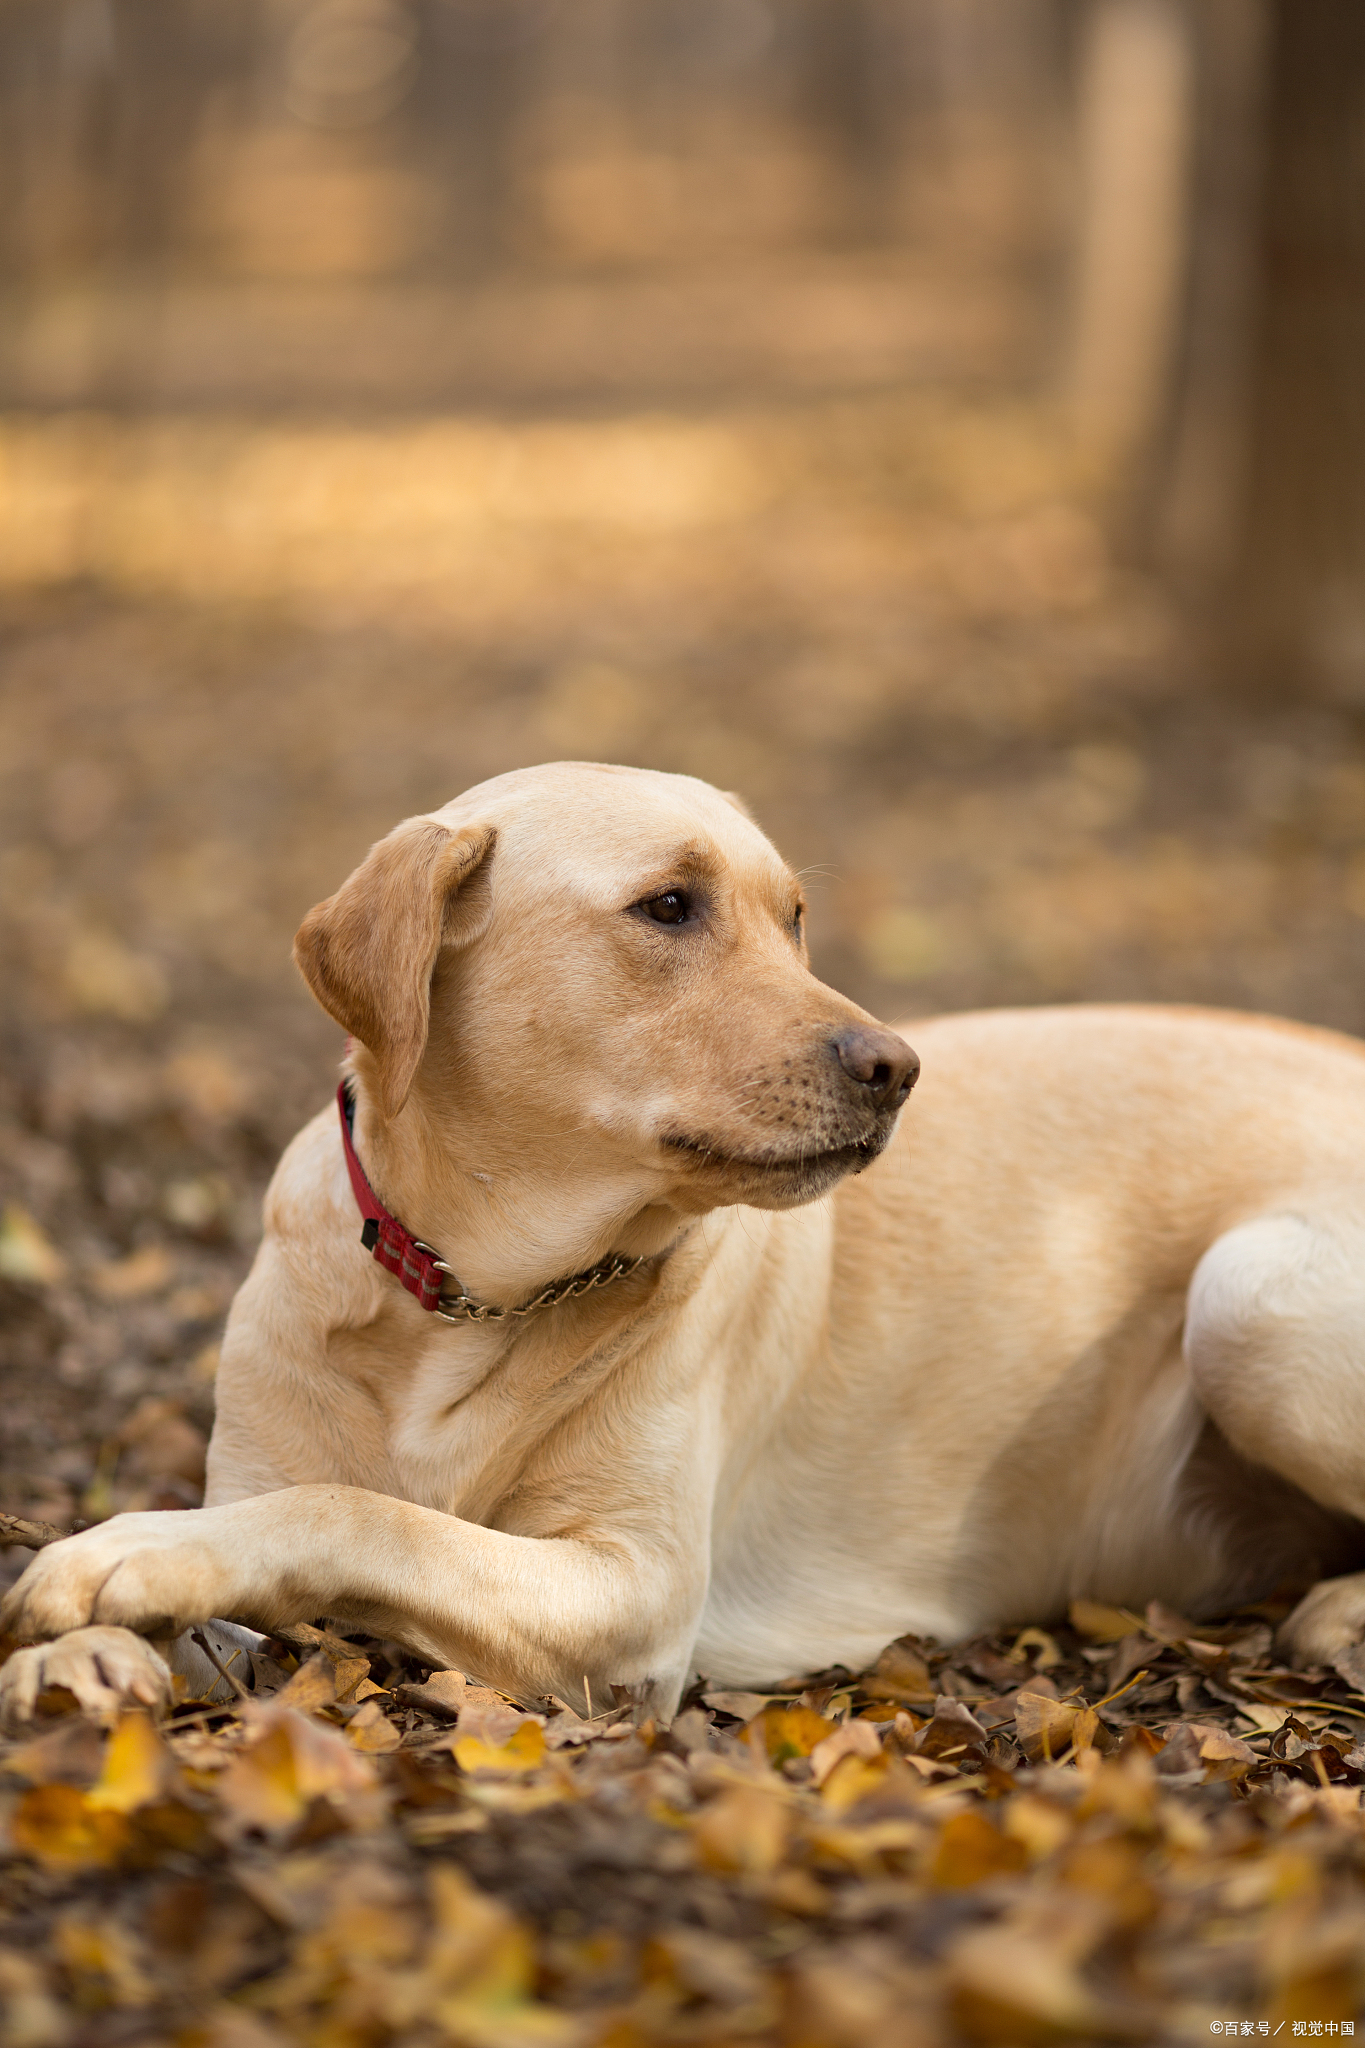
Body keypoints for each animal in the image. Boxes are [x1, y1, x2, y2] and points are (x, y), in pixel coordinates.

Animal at [2, 761, 1365, 1720]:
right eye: (668, 905)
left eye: (795, 918)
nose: (897, 1067)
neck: (467, 1291)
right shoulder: (264, 1469)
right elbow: (298, 1511)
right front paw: (79, 1651)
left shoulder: (633, 1586)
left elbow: (365, 1516)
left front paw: (125, 1553)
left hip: (1253, 1298)